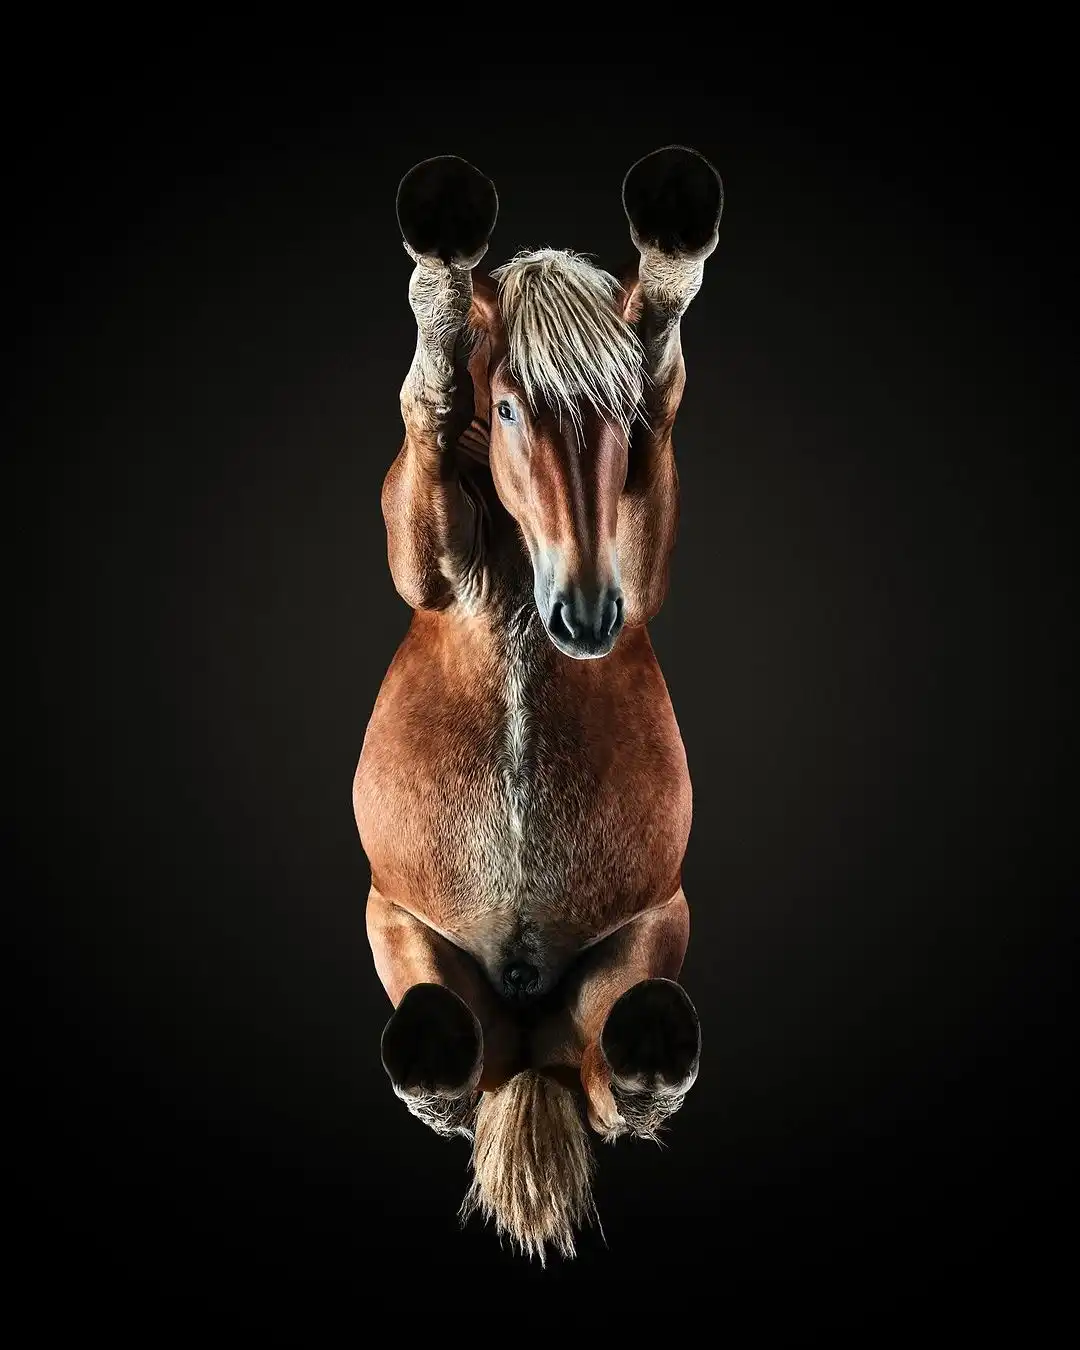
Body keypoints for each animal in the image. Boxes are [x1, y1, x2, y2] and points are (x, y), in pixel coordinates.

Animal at [353, 145, 723, 1262]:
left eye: (624, 421)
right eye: (511, 408)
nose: (589, 613)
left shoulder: (642, 556)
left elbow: (664, 348)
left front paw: (672, 242)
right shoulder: (425, 561)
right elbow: (428, 395)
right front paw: (441, 269)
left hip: (643, 939)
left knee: (619, 1071)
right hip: (402, 932)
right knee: (444, 1057)